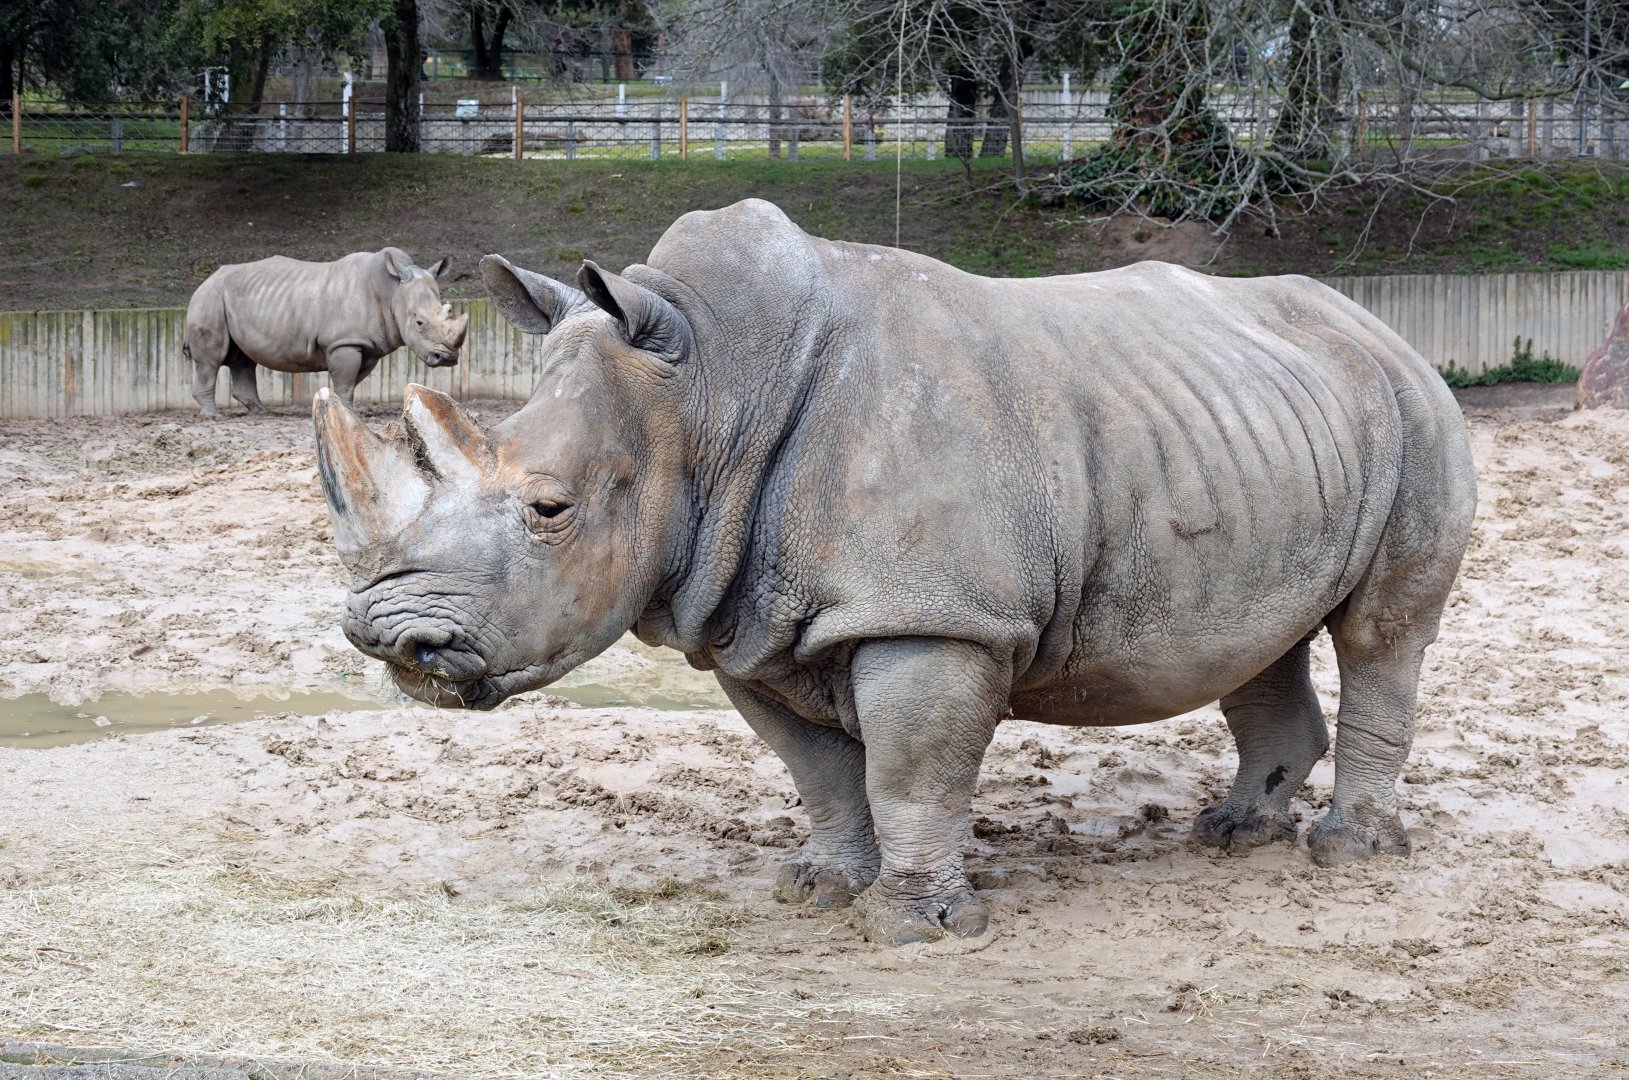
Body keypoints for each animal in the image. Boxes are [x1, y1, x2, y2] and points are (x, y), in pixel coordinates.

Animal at [184, 248, 469, 417]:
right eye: (419, 323)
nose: (447, 358)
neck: (391, 290)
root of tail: (205, 281)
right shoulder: (343, 342)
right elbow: (345, 382)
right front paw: (347, 413)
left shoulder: (366, 345)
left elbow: (350, 381)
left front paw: (343, 409)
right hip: (210, 297)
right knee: (211, 359)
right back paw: (213, 415)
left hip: (232, 298)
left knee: (242, 359)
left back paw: (264, 412)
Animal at [312, 199, 1477, 946]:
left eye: (550, 510)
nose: (389, 636)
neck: (710, 390)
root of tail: (1375, 324)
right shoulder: (743, 615)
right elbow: (820, 770)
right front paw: (818, 892)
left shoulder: (936, 615)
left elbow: (913, 770)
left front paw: (922, 928)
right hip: (1253, 426)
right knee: (1258, 636)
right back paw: (1233, 836)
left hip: (1415, 406)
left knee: (1382, 633)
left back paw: (1349, 854)